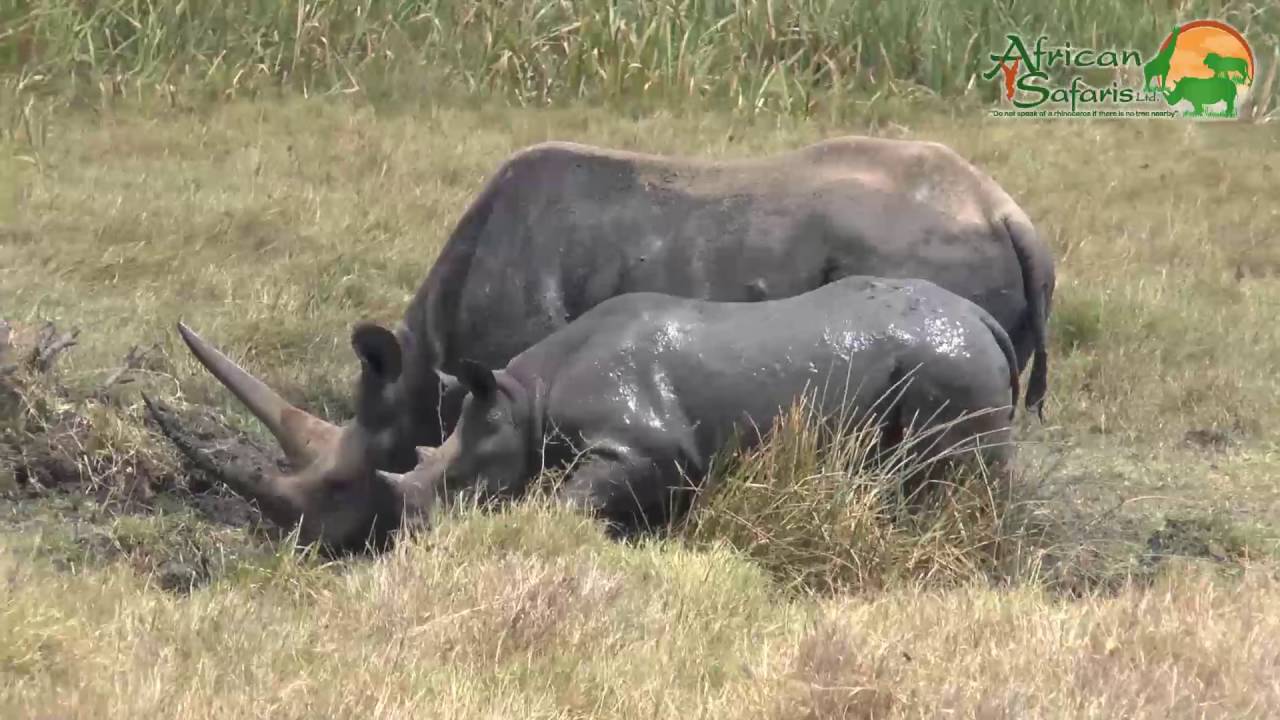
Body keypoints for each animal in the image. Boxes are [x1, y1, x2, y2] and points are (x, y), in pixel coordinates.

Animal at [150, 276, 1021, 552]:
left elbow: (568, 498)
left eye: (443, 482)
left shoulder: (647, 448)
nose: (412, 535)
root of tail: (986, 322)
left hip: (949, 366)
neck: (519, 399)